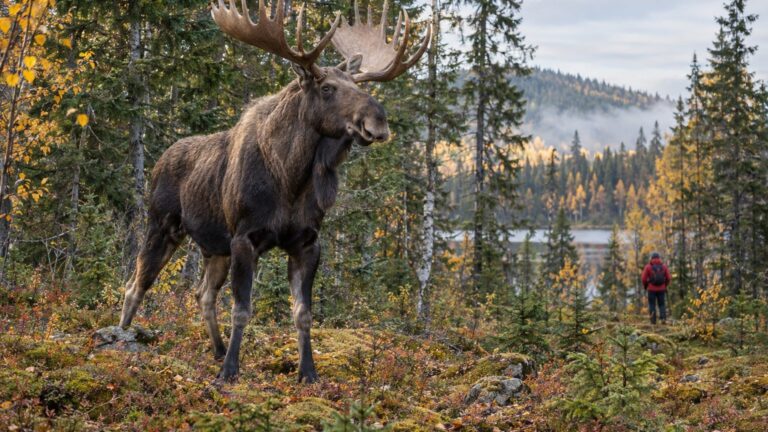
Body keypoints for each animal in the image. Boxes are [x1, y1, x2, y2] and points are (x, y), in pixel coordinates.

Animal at [117, 0, 430, 383]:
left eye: (356, 83)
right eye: (327, 88)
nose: (378, 120)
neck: (291, 178)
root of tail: (159, 161)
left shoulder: (307, 242)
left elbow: (303, 313)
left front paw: (308, 372)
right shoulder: (244, 237)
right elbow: (242, 309)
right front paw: (230, 372)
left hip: (214, 247)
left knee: (202, 294)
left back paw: (217, 349)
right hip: (162, 225)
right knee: (135, 285)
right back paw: (120, 337)